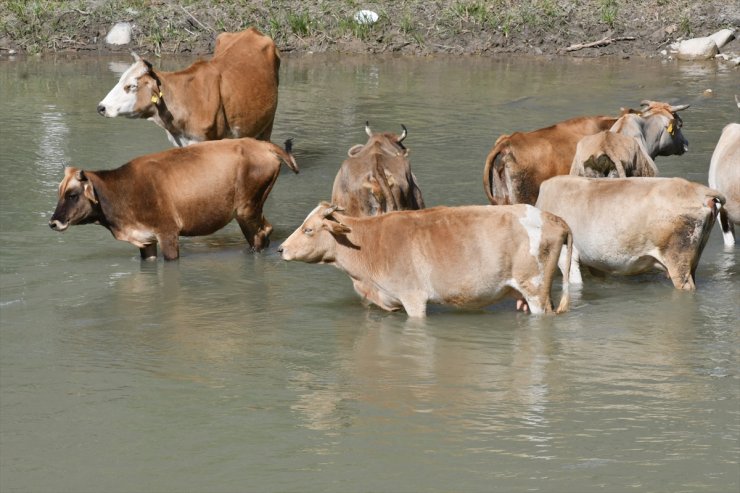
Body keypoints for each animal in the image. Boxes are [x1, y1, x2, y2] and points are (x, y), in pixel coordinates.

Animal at [47, 135, 298, 258]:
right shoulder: (146, 240)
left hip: (247, 209)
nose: (53, 222)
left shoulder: (168, 233)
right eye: (59, 193)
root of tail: (263, 146)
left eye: (72, 194)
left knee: (261, 235)